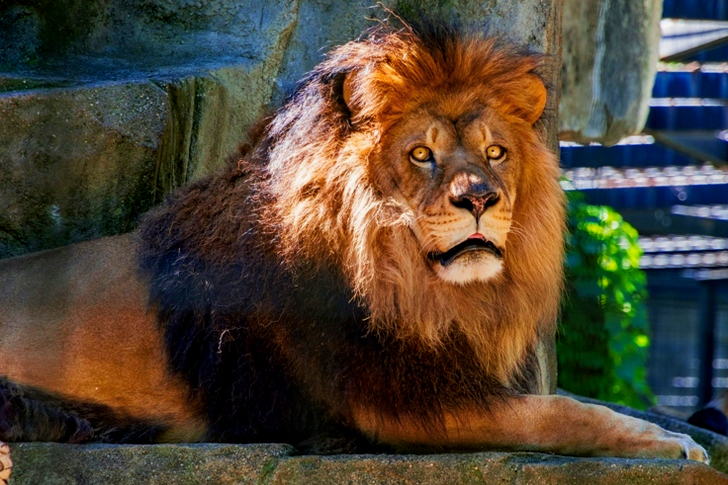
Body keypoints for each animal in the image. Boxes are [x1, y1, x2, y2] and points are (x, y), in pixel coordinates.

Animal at [0, 22, 708, 479]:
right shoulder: (395, 405)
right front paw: (673, 441)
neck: (423, 291)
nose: (480, 199)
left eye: (495, 152)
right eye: (420, 154)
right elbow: (558, 413)